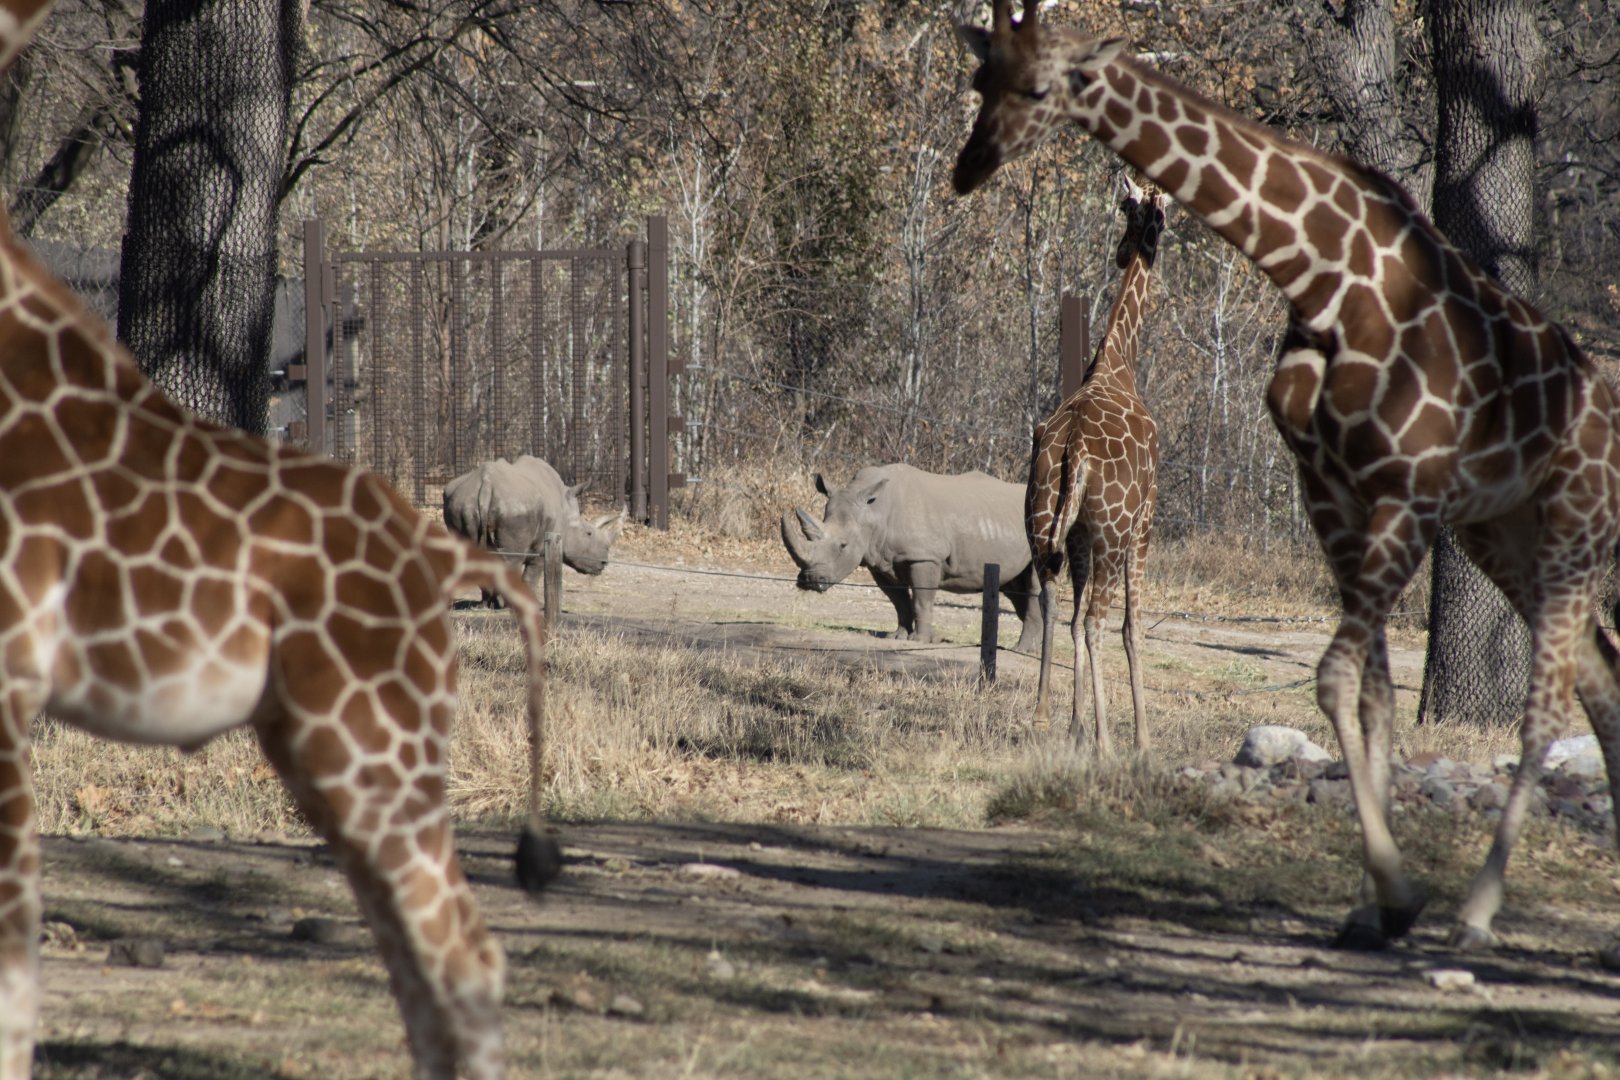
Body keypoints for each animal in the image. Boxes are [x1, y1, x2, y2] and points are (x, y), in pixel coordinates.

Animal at [442, 454, 624, 608]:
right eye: (588, 533)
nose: (604, 563)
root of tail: (486, 484)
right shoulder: (543, 548)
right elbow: (532, 575)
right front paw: (532, 604)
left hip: (460, 502)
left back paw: (485, 605)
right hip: (516, 506)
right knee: (511, 559)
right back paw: (505, 603)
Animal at [780, 463, 1042, 651]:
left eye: (843, 545)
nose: (810, 581)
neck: (874, 511)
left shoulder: (925, 556)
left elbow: (921, 599)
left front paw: (920, 641)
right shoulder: (879, 560)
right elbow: (899, 601)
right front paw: (896, 636)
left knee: (1032, 585)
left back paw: (1021, 650)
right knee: (1016, 587)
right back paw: (1035, 651)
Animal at [953, 0, 1620, 955]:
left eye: (1041, 85)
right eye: (984, 78)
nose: (971, 165)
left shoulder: (1365, 497)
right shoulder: (1297, 501)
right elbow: (1349, 683)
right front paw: (1378, 895)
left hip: (1562, 524)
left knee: (1554, 695)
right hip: (1492, 532)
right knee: (1592, 676)